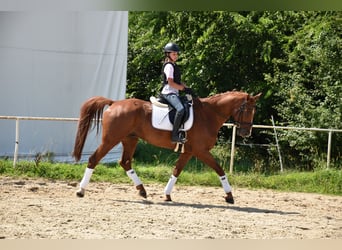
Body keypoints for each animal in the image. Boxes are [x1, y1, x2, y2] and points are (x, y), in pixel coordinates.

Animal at [73, 91, 262, 204]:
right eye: (247, 110)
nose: (246, 133)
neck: (209, 115)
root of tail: (114, 103)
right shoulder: (201, 151)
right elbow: (219, 169)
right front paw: (229, 196)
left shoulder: (189, 151)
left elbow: (176, 170)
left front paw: (167, 195)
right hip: (111, 139)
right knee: (94, 159)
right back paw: (81, 191)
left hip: (130, 139)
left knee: (125, 162)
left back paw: (142, 191)